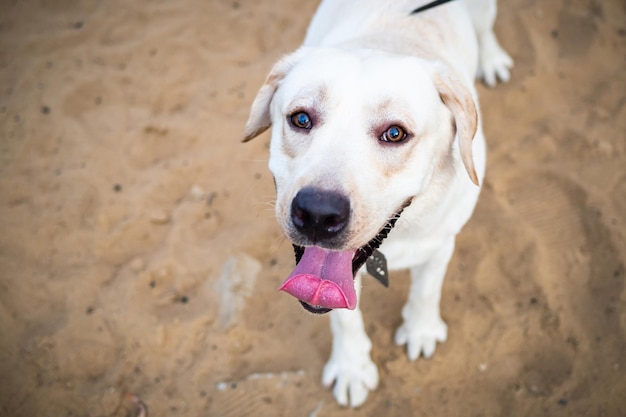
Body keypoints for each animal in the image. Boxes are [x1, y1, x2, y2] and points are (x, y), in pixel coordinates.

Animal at [241, 0, 510, 406]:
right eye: (300, 118)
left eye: (395, 133)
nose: (318, 214)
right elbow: (343, 317)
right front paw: (352, 367)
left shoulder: (441, 242)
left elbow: (426, 289)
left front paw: (421, 330)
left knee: (486, 28)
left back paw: (492, 58)